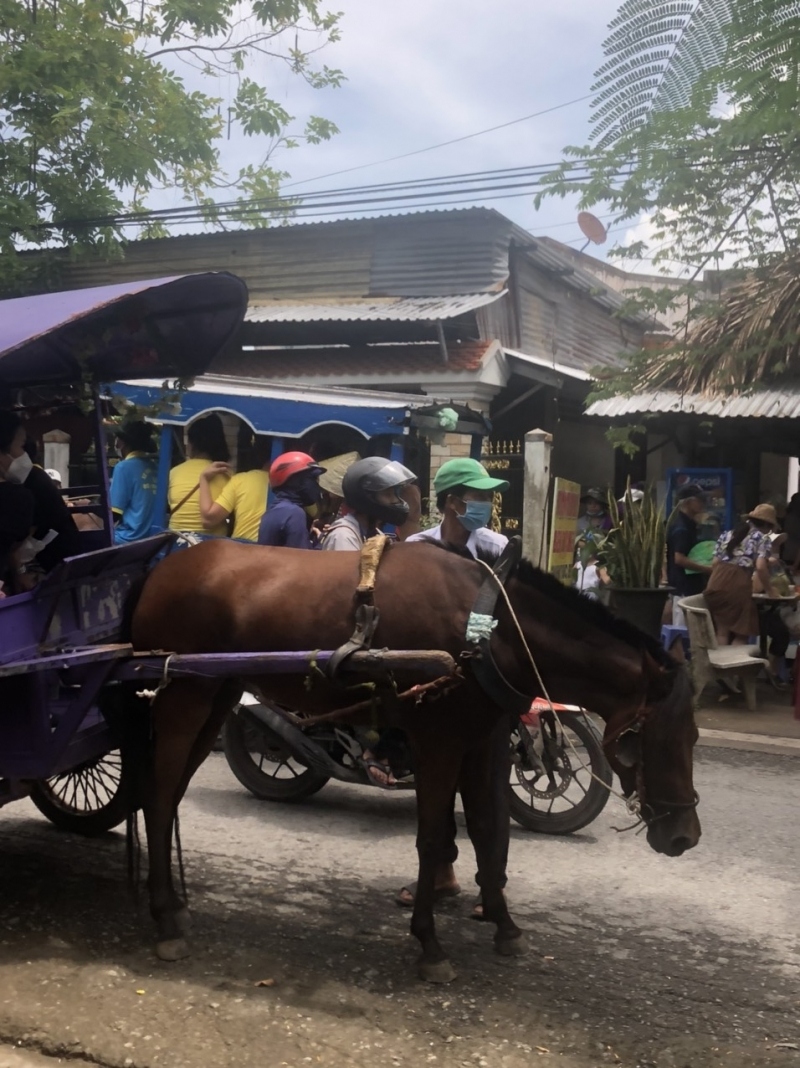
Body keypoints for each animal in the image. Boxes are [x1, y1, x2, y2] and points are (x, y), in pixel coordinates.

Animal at [129, 538, 700, 978]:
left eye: (693, 737)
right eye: (645, 740)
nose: (684, 837)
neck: (491, 627)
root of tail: (162, 569)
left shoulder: (482, 740)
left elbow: (488, 830)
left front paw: (503, 923)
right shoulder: (439, 741)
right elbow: (431, 840)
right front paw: (429, 944)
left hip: (218, 693)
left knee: (171, 794)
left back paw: (175, 904)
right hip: (183, 698)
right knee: (156, 798)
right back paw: (162, 918)